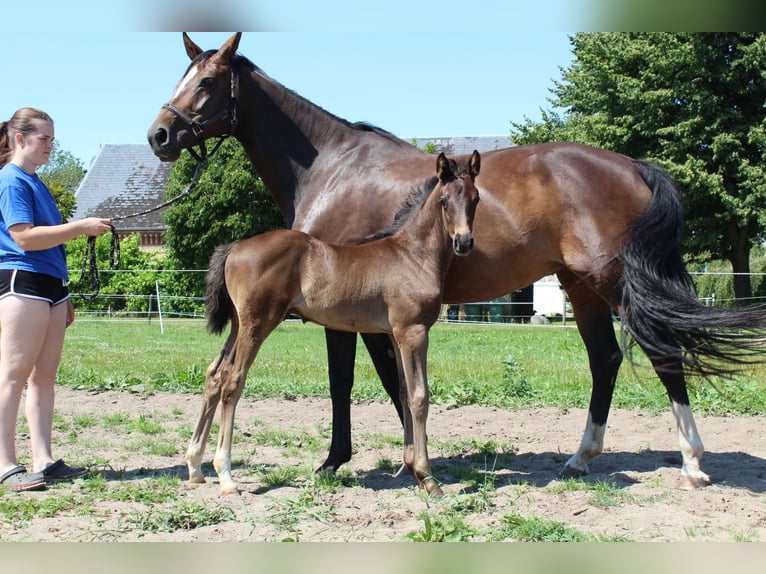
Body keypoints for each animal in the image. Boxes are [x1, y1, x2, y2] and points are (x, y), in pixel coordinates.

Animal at [188, 151, 480, 495]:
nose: (464, 242)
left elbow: (404, 393)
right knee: (233, 381)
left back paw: (195, 465)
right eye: (445, 201)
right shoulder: (414, 331)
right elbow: (420, 397)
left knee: (215, 375)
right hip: (257, 324)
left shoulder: (396, 334)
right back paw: (226, 475)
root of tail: (235, 247)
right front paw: (428, 478)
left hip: (238, 325)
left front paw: (413, 469)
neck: (411, 255)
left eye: (475, 199)